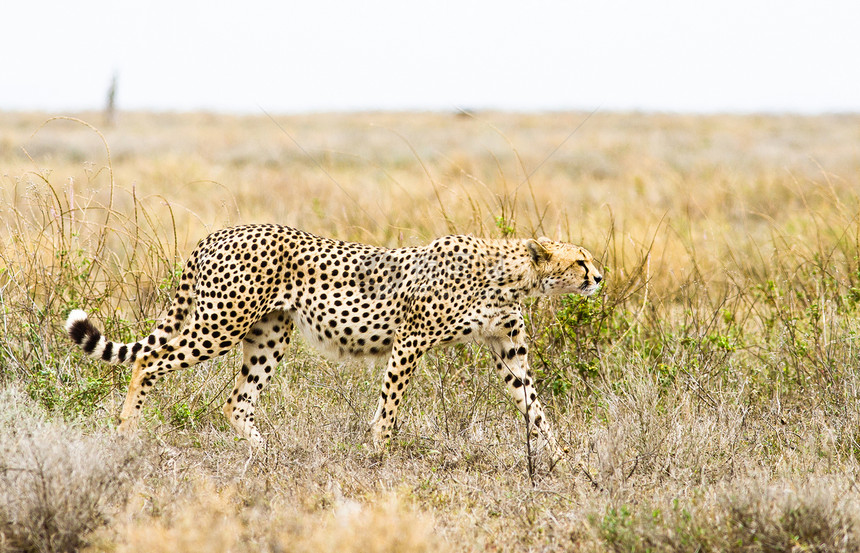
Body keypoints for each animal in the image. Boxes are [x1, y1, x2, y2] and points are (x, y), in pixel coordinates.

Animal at [65, 224, 604, 462]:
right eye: (580, 260)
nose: (599, 276)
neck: (509, 276)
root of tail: (219, 232)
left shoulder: (508, 350)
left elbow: (536, 409)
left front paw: (561, 459)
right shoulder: (410, 340)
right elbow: (389, 406)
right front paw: (380, 455)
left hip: (268, 334)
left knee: (237, 402)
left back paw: (268, 453)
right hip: (220, 324)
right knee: (148, 362)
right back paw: (125, 433)